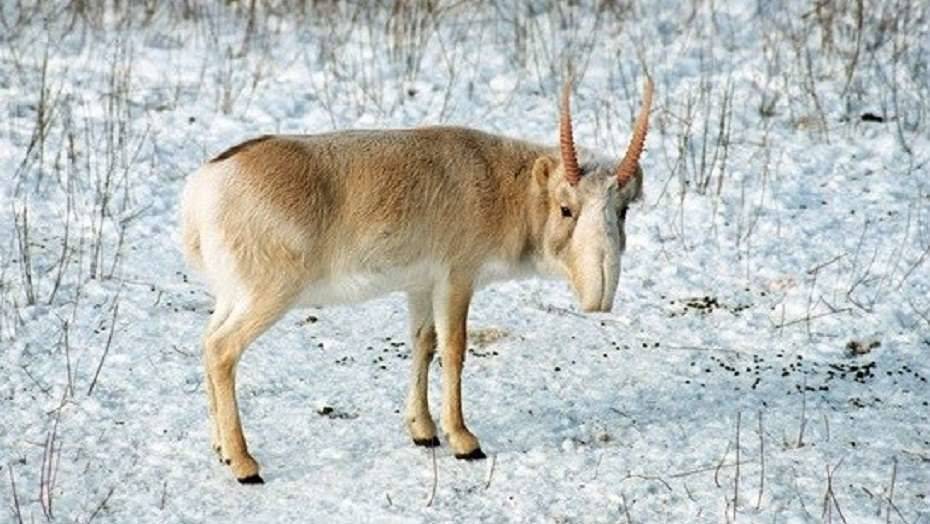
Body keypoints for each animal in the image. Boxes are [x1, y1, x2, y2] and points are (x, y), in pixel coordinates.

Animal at [180, 77, 653, 484]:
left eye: (623, 210)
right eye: (566, 208)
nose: (600, 293)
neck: (507, 188)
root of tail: (203, 188)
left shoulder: (420, 285)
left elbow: (423, 344)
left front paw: (423, 431)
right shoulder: (458, 276)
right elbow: (454, 349)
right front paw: (464, 440)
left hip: (232, 296)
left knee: (206, 341)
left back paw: (220, 449)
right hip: (268, 294)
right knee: (223, 351)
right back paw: (244, 464)